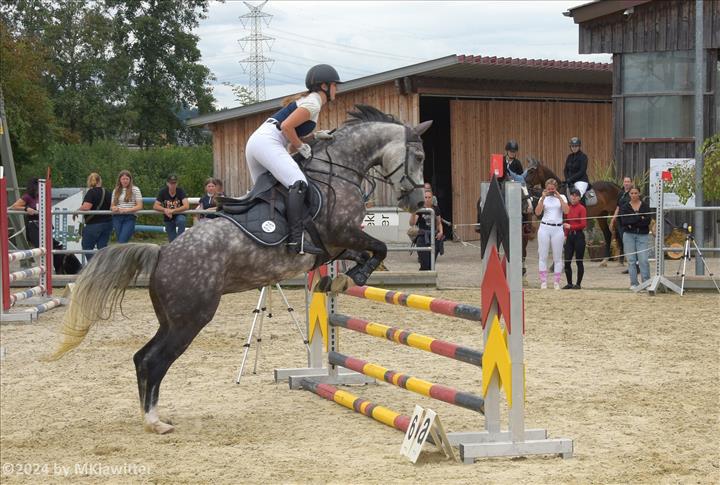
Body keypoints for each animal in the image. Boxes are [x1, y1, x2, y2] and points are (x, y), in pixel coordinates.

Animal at [49, 105, 431, 434]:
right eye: (420, 157)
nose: (417, 203)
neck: (339, 171)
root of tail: (163, 254)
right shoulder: (341, 233)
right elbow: (379, 248)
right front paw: (351, 279)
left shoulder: (336, 245)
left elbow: (367, 253)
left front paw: (335, 281)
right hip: (191, 319)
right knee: (153, 361)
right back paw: (154, 422)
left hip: (172, 319)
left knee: (142, 357)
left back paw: (153, 415)